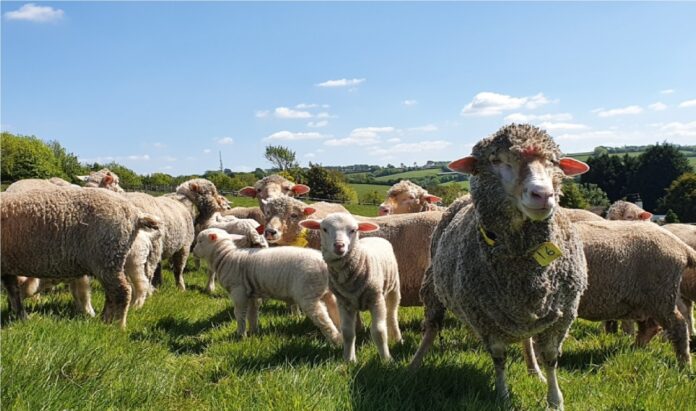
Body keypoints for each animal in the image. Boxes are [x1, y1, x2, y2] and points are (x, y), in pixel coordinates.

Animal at [0, 187, 159, 328]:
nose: (7, 307)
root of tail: (136, 213)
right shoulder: (7, 267)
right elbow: (14, 292)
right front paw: (21, 316)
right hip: (109, 259)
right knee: (112, 293)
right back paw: (105, 320)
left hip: (107, 256)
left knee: (122, 291)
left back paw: (118, 325)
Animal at [192, 229, 342, 344]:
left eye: (200, 241)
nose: (193, 251)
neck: (226, 257)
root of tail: (324, 264)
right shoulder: (251, 294)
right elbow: (252, 314)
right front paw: (253, 332)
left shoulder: (238, 291)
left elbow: (239, 314)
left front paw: (241, 335)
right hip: (326, 291)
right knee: (334, 309)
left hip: (308, 293)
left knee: (323, 318)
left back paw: (336, 341)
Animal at [300, 214, 402, 362]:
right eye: (324, 229)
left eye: (353, 230)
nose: (339, 245)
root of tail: (375, 237)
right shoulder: (343, 302)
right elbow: (347, 332)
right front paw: (349, 360)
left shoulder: (376, 299)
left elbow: (379, 331)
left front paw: (386, 359)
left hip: (393, 288)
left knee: (392, 314)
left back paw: (397, 338)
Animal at [410, 124, 588, 410]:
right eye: (497, 160)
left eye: (553, 162)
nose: (543, 195)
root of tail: (460, 197)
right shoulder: (485, 320)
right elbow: (499, 358)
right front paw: (502, 396)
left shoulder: (563, 316)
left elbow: (551, 358)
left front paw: (554, 398)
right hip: (433, 287)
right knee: (432, 327)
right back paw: (413, 366)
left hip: (521, 312)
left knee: (526, 339)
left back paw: (533, 370)